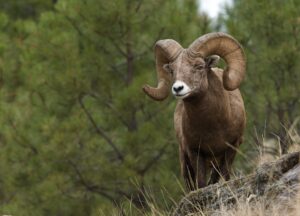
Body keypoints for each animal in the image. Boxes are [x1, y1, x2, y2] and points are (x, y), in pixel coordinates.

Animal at [143, 32, 246, 191]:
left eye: (199, 66)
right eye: (172, 70)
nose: (178, 88)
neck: (214, 126)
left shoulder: (232, 147)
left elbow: (222, 176)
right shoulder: (195, 152)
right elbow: (201, 183)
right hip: (184, 161)